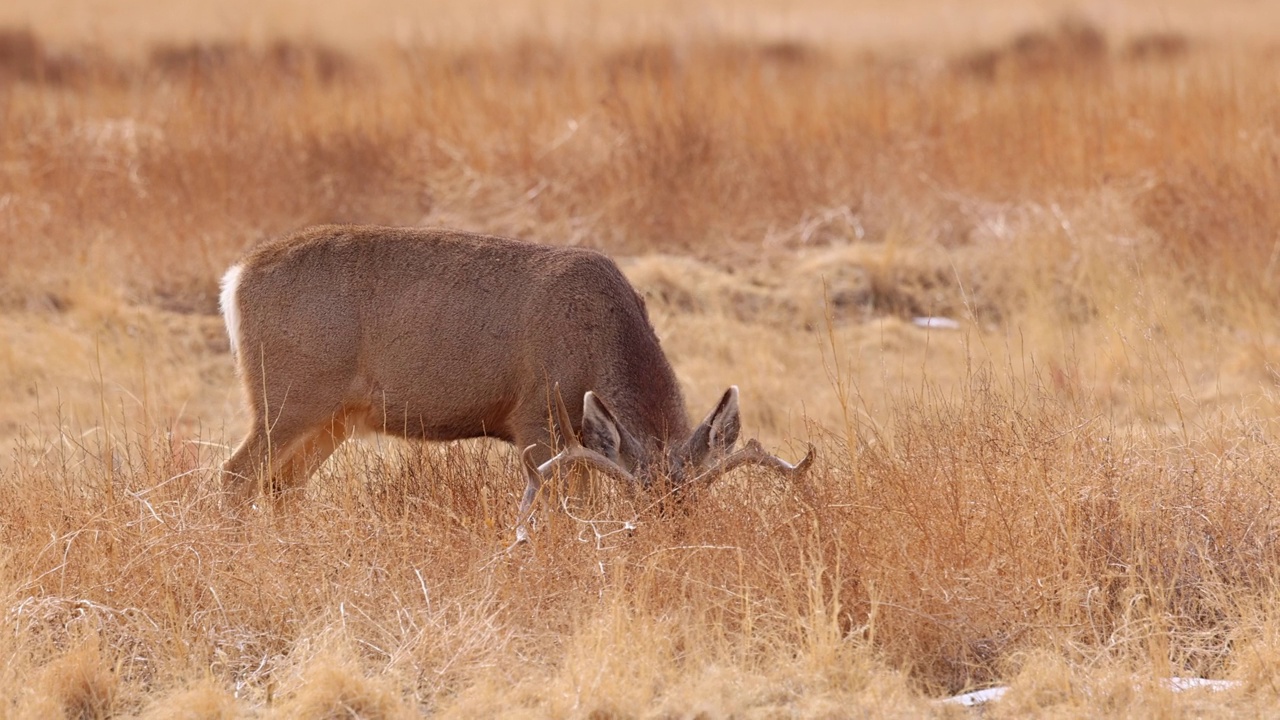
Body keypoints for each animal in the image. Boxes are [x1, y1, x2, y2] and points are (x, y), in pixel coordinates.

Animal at [218, 222, 808, 532]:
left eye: (696, 505)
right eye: (642, 504)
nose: (673, 544)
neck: (599, 337)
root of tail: (235, 278)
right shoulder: (535, 417)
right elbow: (565, 505)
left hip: (335, 417)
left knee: (281, 486)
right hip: (287, 394)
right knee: (233, 475)